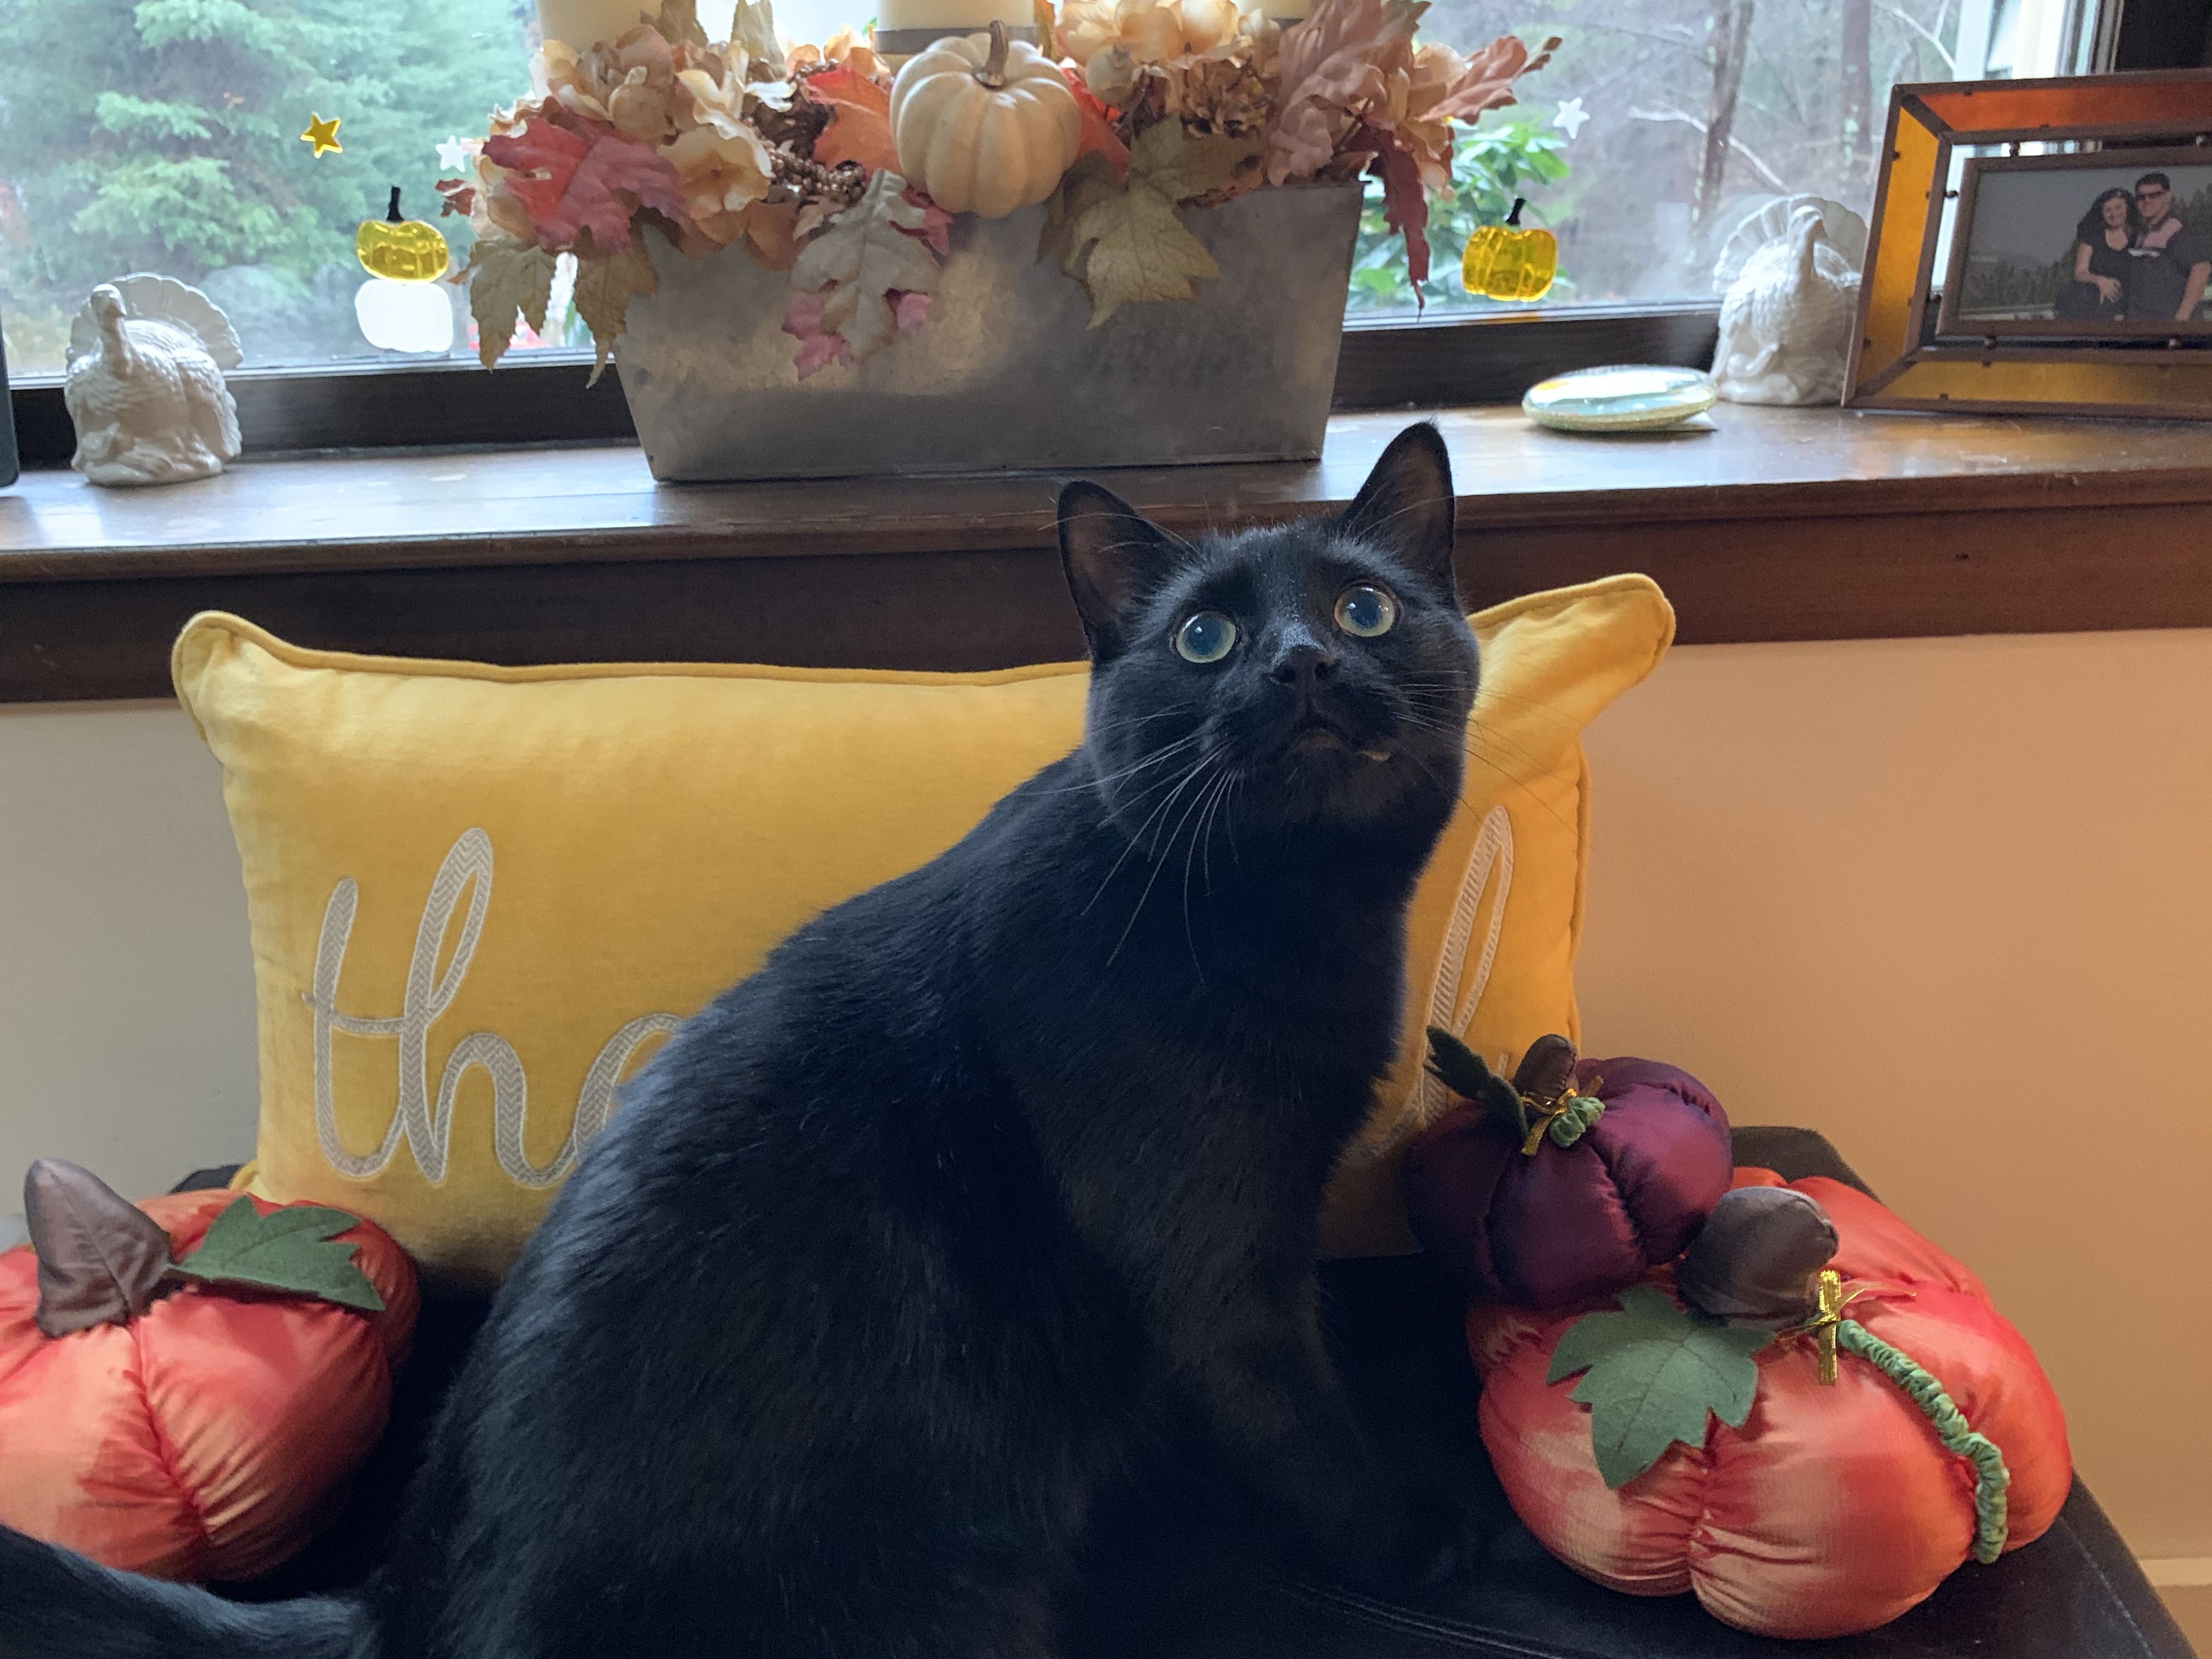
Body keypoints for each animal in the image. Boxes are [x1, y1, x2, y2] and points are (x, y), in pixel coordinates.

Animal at [0, 421, 1483, 1659]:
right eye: (1204, 639)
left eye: (1364, 607)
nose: (1302, 660)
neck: (1294, 913)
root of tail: (398, 1603)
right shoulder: (1213, 1263)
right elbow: (1295, 1418)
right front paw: (1403, 1538)